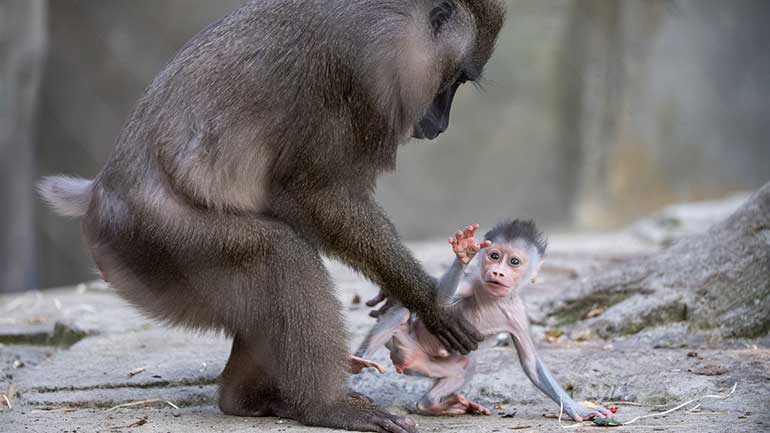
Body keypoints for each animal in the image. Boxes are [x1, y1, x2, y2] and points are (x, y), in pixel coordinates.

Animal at [39, 0, 504, 432]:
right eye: (454, 80)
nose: (441, 124)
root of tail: (97, 196)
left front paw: (393, 292)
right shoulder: (368, 69)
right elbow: (315, 193)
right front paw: (428, 300)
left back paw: (248, 398)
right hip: (157, 244)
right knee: (279, 255)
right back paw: (324, 407)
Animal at [354, 221, 612, 420]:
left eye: (514, 262)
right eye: (494, 256)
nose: (497, 272)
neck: (494, 299)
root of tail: (405, 362)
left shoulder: (519, 313)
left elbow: (530, 363)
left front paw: (577, 409)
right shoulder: (471, 281)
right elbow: (439, 301)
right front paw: (464, 252)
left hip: (424, 364)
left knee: (465, 366)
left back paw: (435, 405)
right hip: (403, 344)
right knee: (402, 314)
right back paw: (359, 362)